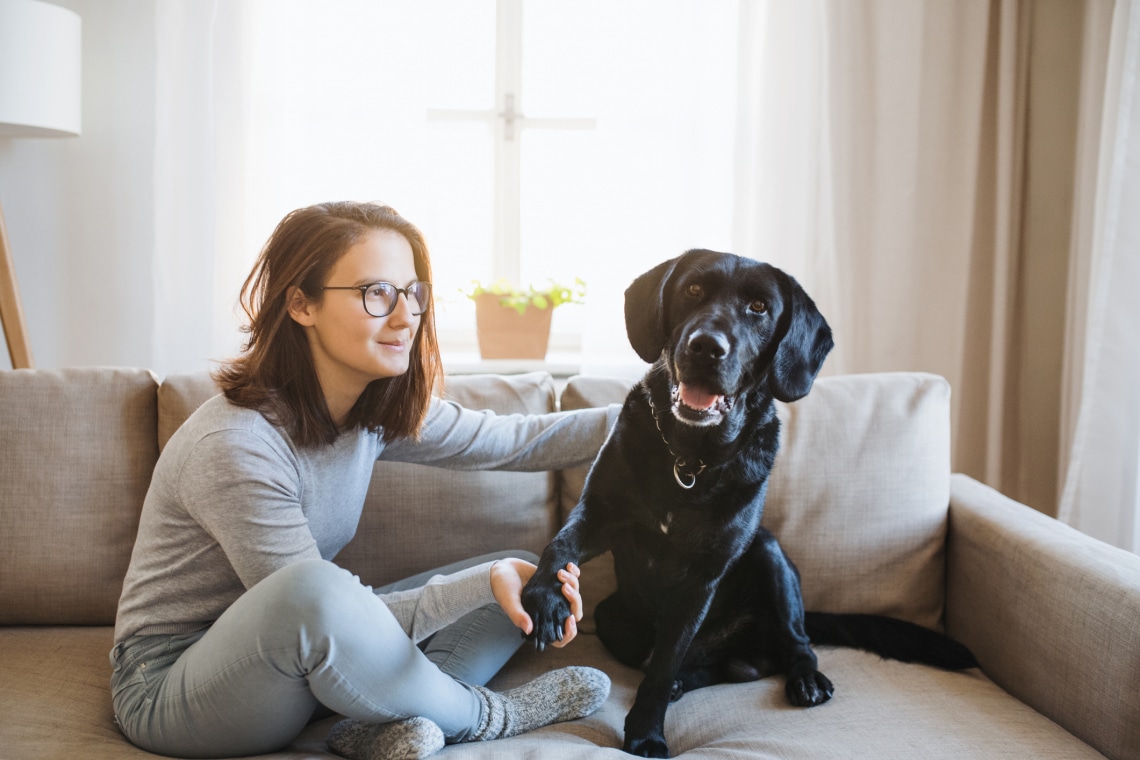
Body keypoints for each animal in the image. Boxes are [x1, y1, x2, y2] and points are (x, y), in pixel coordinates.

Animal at [522, 249, 975, 756]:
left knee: (792, 644)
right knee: (715, 664)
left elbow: (664, 663)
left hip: (770, 556)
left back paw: (804, 679)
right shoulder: (600, 515)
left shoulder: (702, 575)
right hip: (613, 617)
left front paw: (646, 734)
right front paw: (545, 597)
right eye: (693, 290)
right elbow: (561, 544)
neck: (689, 458)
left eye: (759, 308)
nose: (706, 347)